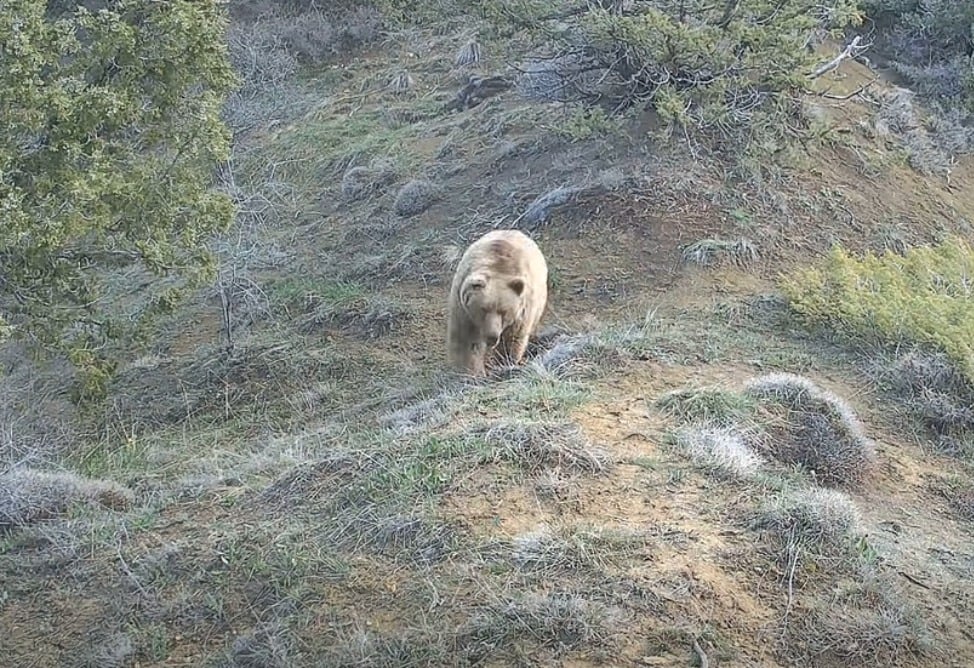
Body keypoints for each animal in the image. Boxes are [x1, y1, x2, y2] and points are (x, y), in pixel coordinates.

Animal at [446, 229, 549, 377]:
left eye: (504, 311)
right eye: (483, 309)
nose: (492, 336)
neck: (498, 269)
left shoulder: (521, 311)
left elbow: (511, 341)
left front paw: (504, 363)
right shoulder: (463, 311)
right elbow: (467, 341)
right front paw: (468, 370)